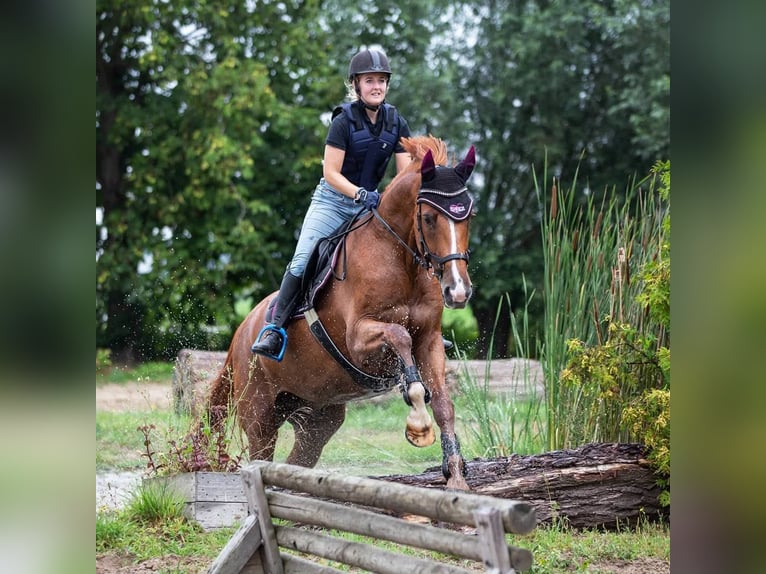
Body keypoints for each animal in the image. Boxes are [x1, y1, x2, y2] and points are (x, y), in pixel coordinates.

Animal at [207, 135, 476, 490]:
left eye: (469, 216)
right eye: (430, 218)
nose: (458, 291)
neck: (401, 261)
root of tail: (241, 332)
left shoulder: (429, 340)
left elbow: (445, 404)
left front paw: (456, 477)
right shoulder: (358, 341)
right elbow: (399, 337)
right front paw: (417, 421)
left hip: (317, 418)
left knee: (299, 458)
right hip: (259, 413)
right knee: (261, 452)